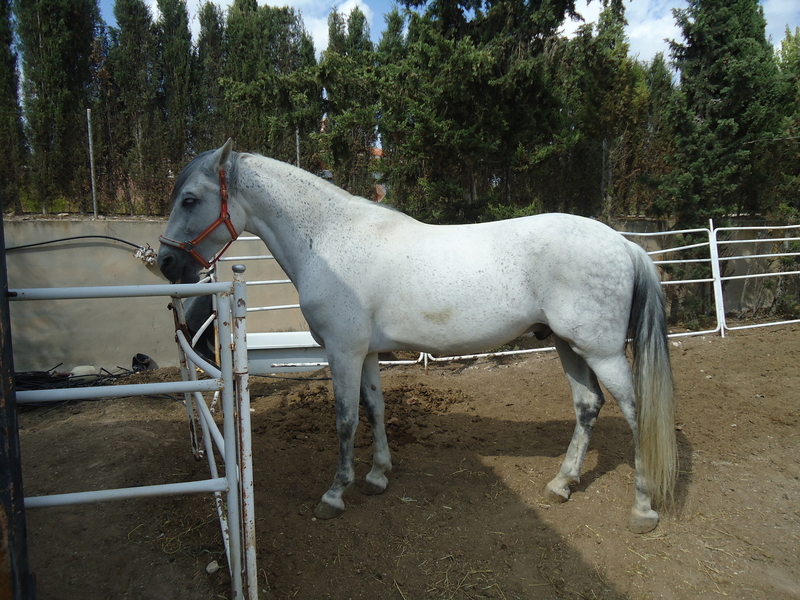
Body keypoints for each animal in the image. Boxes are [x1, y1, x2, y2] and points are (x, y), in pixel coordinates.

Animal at [157, 140, 677, 534]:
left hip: (602, 351)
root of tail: (624, 243)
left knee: (636, 413)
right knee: (588, 406)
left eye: (190, 199)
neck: (329, 240)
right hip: (568, 345)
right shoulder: (366, 353)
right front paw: (378, 475)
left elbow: (345, 420)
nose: (164, 262)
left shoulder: (343, 352)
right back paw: (561, 485)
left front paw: (335, 493)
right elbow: (374, 409)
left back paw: (642, 509)